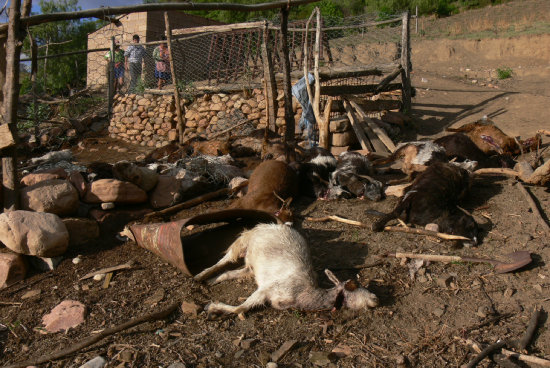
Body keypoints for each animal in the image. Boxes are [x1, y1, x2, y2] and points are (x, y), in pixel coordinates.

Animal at [194, 223, 380, 314]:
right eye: (353, 286)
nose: (376, 298)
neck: (302, 293)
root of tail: (267, 225)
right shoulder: (266, 290)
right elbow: (241, 308)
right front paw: (212, 307)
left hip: (252, 265)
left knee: (230, 272)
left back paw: (211, 280)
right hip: (244, 241)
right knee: (225, 259)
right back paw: (200, 275)